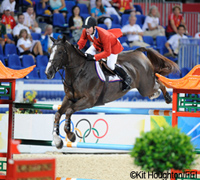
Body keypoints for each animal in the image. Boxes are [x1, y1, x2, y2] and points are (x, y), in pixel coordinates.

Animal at [45, 35, 178, 149]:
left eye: (60, 52)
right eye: (50, 51)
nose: (48, 73)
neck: (78, 72)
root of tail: (138, 51)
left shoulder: (88, 101)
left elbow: (68, 111)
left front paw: (70, 135)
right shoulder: (69, 98)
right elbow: (58, 113)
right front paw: (57, 140)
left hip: (146, 87)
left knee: (158, 82)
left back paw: (167, 98)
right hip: (145, 87)